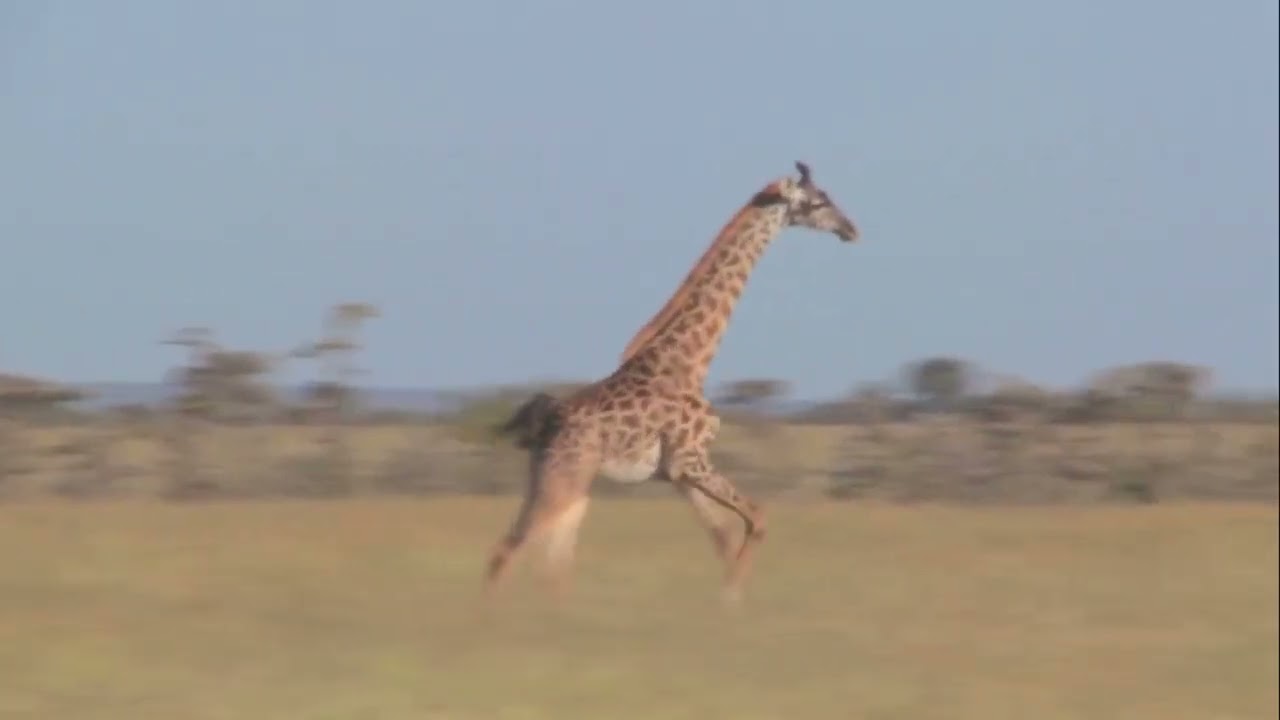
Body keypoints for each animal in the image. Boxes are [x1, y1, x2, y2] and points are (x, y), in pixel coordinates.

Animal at [484, 161, 859, 607]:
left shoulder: (678, 474)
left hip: (562, 479)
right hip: (565, 476)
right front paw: (731, 601)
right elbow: (757, 518)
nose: (851, 229)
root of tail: (546, 420)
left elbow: (722, 535)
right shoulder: (693, 459)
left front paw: (727, 599)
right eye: (818, 202)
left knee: (551, 558)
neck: (691, 362)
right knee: (510, 550)